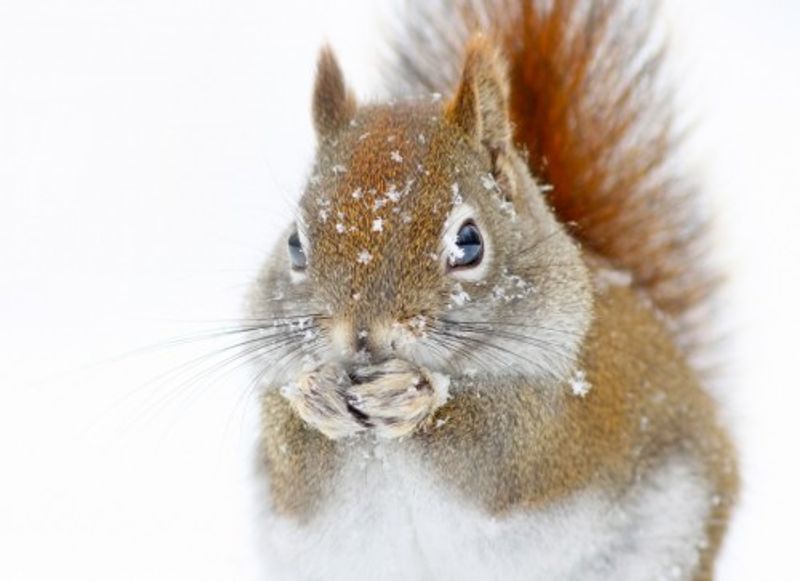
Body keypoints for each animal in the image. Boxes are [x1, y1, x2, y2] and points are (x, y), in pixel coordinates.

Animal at [247, 0, 738, 579]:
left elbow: (495, 451)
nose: (363, 336)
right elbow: (295, 463)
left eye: (469, 242)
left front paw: (415, 395)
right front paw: (314, 392)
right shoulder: (292, 483)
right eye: (294, 245)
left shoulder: (557, 426)